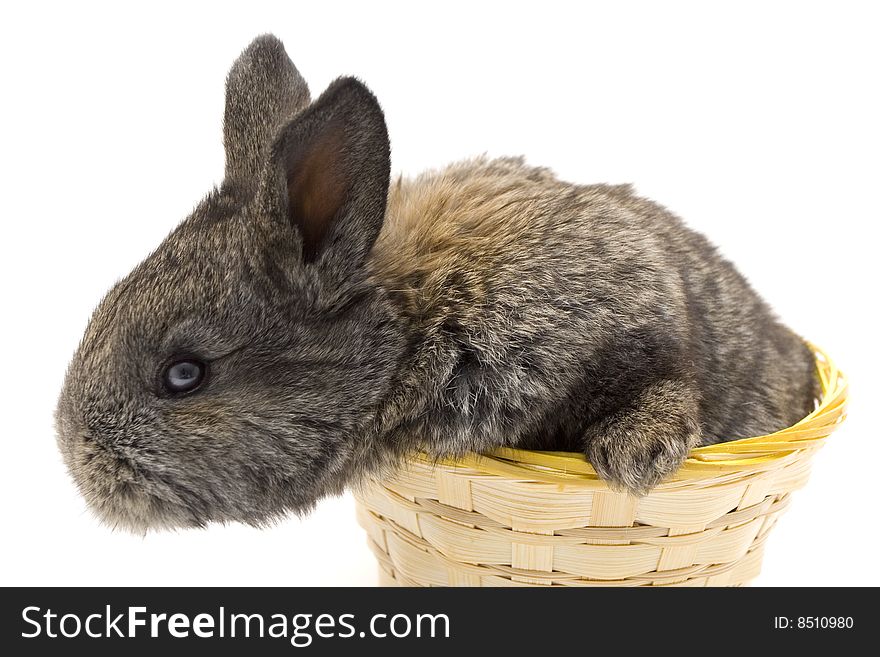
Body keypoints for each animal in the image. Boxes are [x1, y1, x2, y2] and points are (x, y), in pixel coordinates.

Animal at [56, 33, 820, 532]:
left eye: (184, 374)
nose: (76, 459)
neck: (412, 322)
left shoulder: (638, 311)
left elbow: (668, 374)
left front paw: (636, 457)